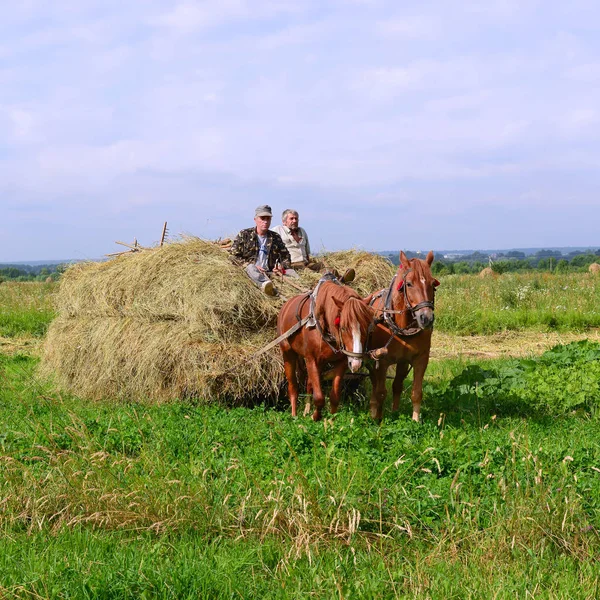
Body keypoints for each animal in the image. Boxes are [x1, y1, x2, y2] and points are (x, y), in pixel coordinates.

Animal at [278, 282, 376, 422]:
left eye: (366, 327)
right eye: (343, 327)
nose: (356, 363)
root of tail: (285, 306)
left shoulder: (341, 362)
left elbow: (334, 396)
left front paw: (331, 420)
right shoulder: (311, 359)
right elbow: (319, 397)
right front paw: (316, 416)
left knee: (309, 383)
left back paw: (306, 410)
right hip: (288, 354)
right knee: (293, 387)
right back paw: (294, 415)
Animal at [364, 251, 438, 420]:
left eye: (433, 284)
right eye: (409, 284)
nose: (426, 318)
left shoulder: (421, 359)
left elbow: (416, 393)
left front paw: (415, 420)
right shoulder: (381, 361)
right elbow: (381, 392)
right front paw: (378, 418)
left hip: (402, 361)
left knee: (397, 385)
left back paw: (395, 411)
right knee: (375, 384)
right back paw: (373, 409)